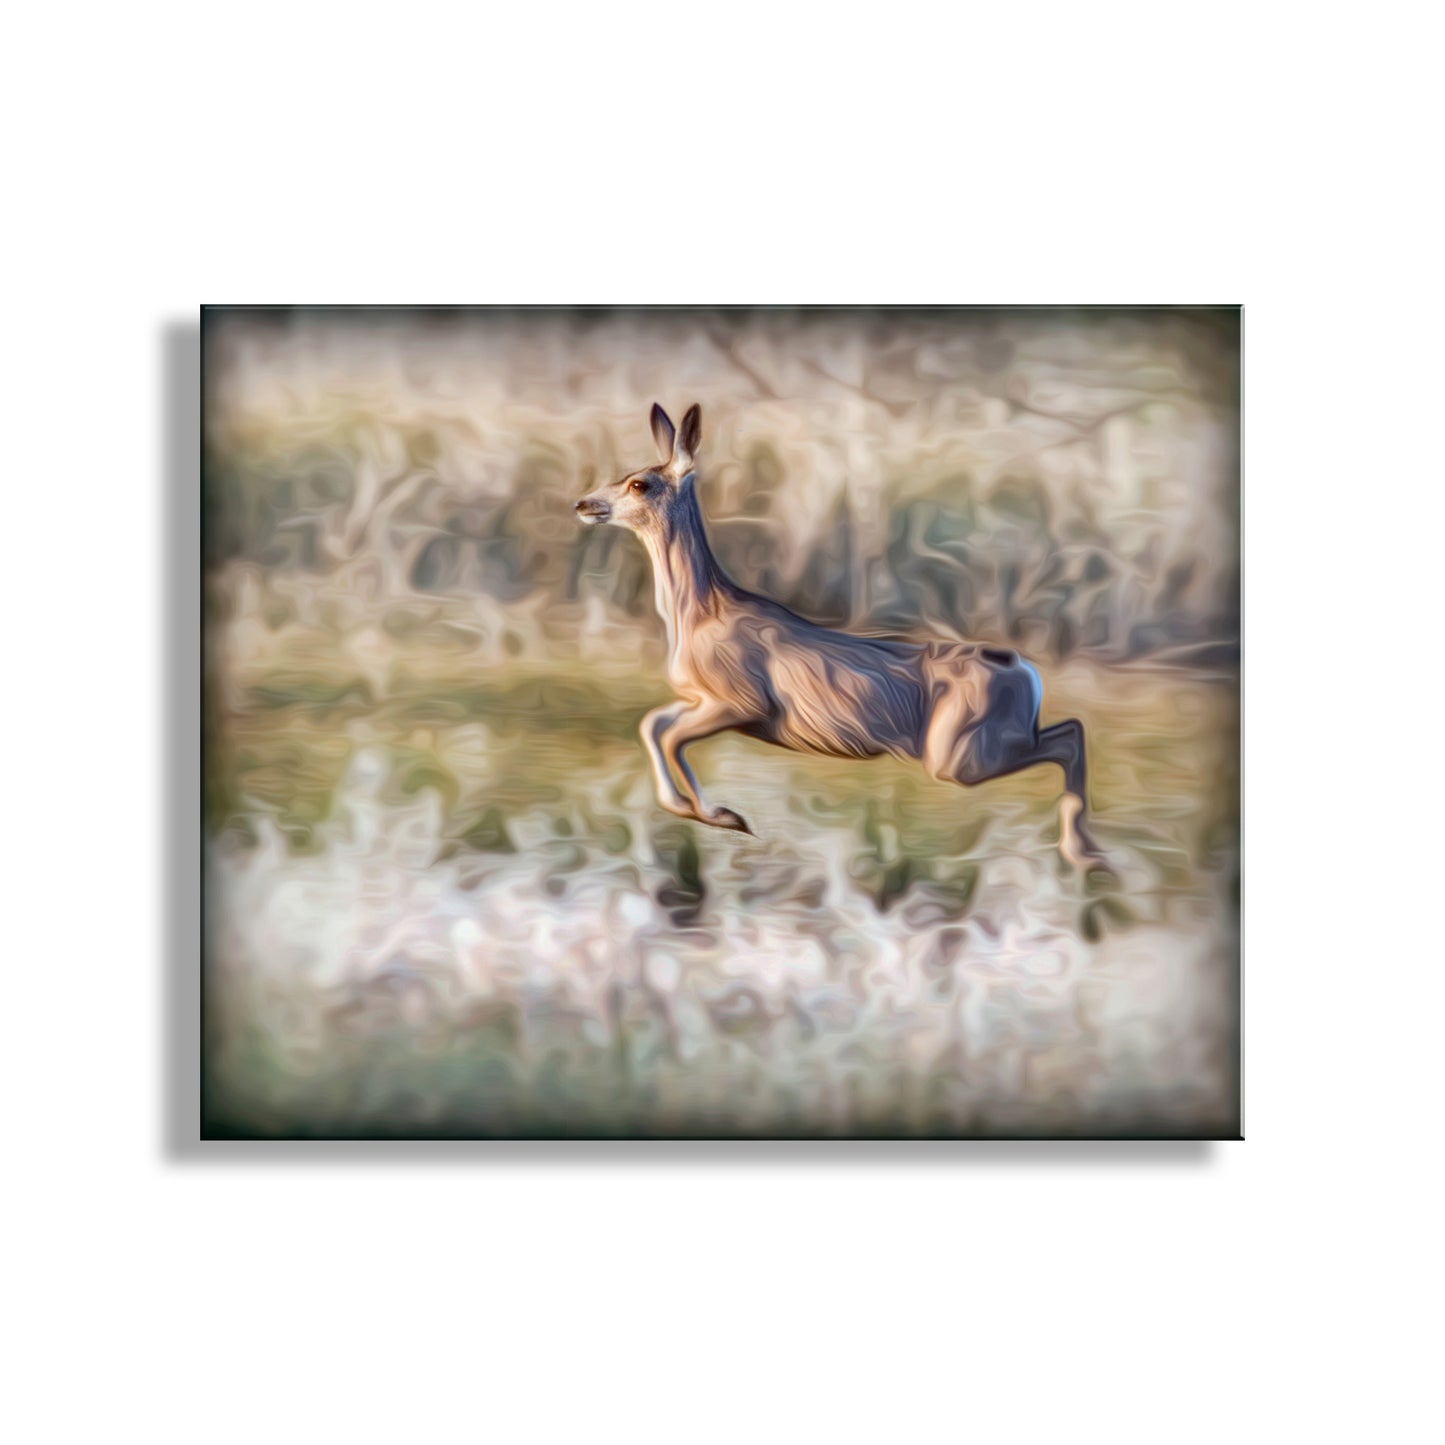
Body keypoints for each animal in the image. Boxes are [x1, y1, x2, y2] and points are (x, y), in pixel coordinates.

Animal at [574, 403, 1108, 871]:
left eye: (639, 483)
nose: (583, 503)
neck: (701, 614)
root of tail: (1025, 669)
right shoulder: (700, 699)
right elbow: (654, 725)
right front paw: (717, 813)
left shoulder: (743, 701)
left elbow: (669, 736)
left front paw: (725, 816)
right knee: (1070, 731)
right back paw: (1086, 853)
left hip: (958, 749)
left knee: (1070, 735)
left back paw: (1084, 853)